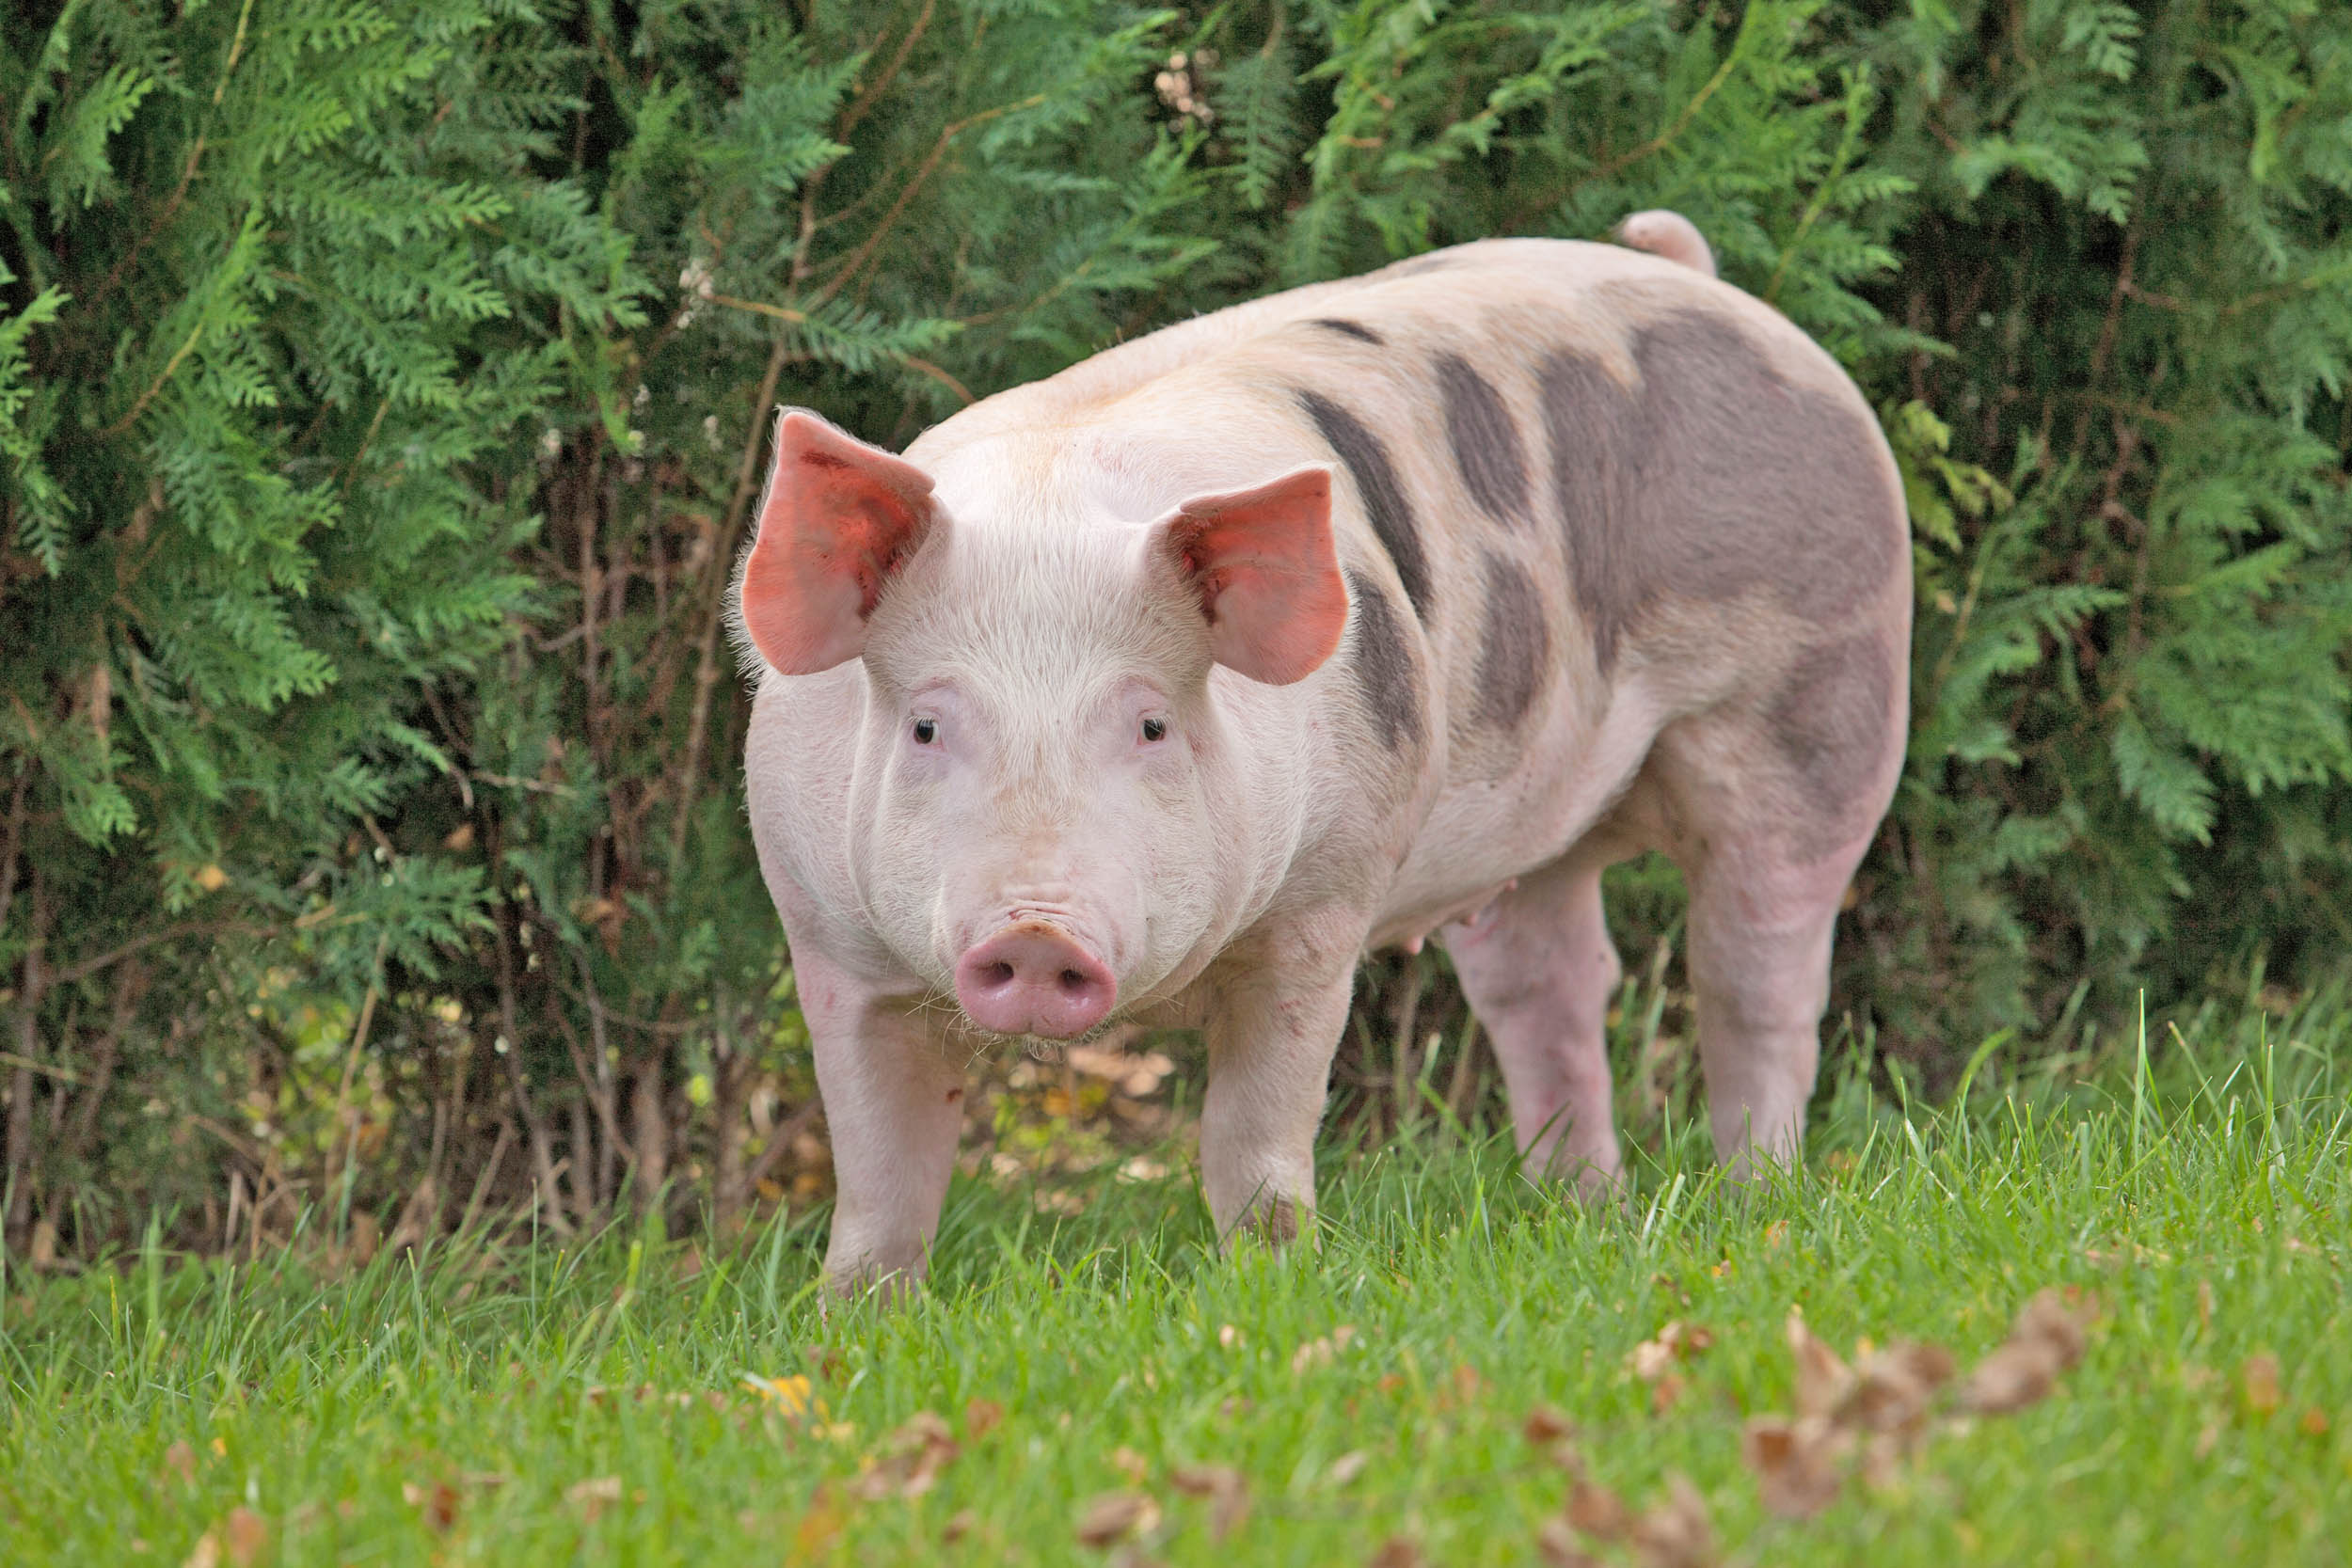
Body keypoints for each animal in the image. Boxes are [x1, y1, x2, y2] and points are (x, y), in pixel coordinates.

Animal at [738, 221, 1910, 1292]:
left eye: (1152, 724)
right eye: (927, 726)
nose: (1034, 929)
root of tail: (1700, 276)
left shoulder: (1320, 905)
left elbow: (1250, 1134)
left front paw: (1272, 1282)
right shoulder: (830, 945)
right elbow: (879, 1179)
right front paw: (857, 1322)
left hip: (1822, 703)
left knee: (1754, 975)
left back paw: (1758, 1201)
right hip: (1526, 812)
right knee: (1553, 982)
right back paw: (1579, 1208)